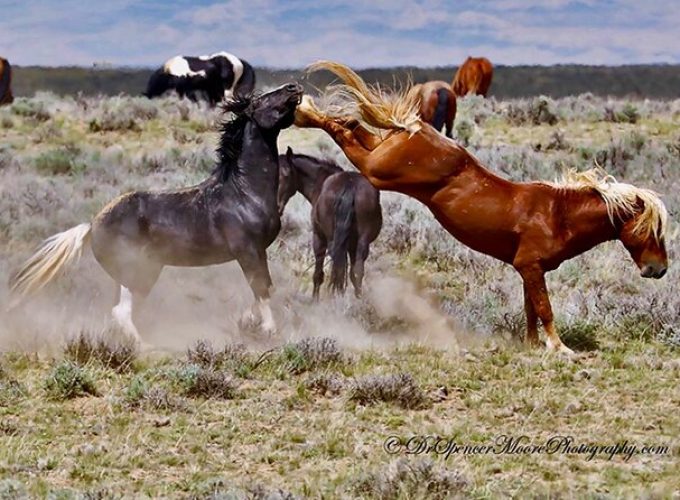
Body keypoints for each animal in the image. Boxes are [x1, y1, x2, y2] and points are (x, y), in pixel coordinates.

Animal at [9, 83, 302, 348]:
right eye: (263, 99)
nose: (294, 87)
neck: (243, 192)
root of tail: (91, 225)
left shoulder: (256, 252)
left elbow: (261, 291)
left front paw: (247, 321)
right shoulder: (248, 251)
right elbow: (262, 289)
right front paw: (270, 330)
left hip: (142, 272)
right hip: (138, 272)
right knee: (121, 311)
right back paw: (144, 345)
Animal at [294, 61, 668, 356]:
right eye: (650, 230)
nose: (659, 270)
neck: (557, 214)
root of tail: (416, 127)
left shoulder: (529, 270)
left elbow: (530, 310)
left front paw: (532, 345)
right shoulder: (531, 267)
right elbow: (545, 309)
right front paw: (560, 348)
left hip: (378, 154)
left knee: (352, 127)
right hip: (376, 170)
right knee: (341, 130)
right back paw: (302, 110)